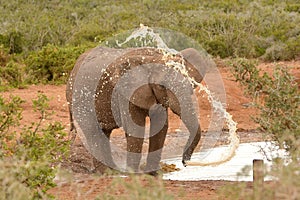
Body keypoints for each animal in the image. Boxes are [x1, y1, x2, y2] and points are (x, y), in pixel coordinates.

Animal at [67, 47, 209, 175]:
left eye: (190, 84)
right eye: (161, 86)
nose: (185, 162)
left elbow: (160, 127)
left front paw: (153, 174)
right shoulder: (125, 92)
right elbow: (135, 128)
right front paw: (133, 174)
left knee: (103, 133)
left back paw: (112, 171)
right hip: (79, 100)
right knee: (92, 132)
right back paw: (105, 173)